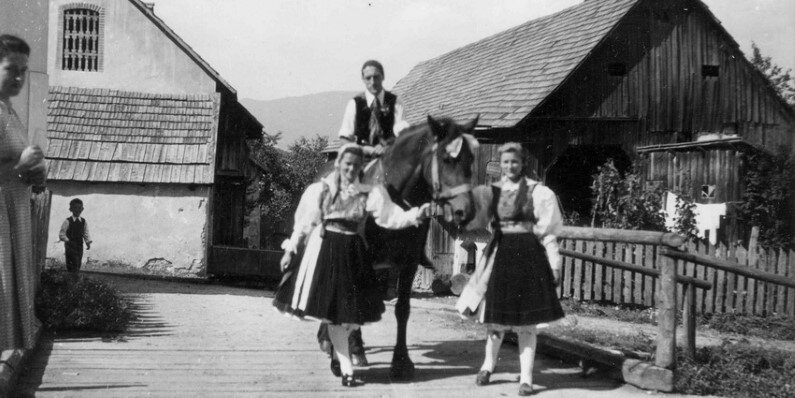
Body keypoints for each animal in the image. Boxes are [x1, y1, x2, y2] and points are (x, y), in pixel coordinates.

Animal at [346, 114, 476, 380]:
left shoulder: (408, 262)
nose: (465, 210)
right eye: (447, 159)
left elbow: (402, 309)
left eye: (471, 159)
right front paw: (354, 350)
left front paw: (401, 362)